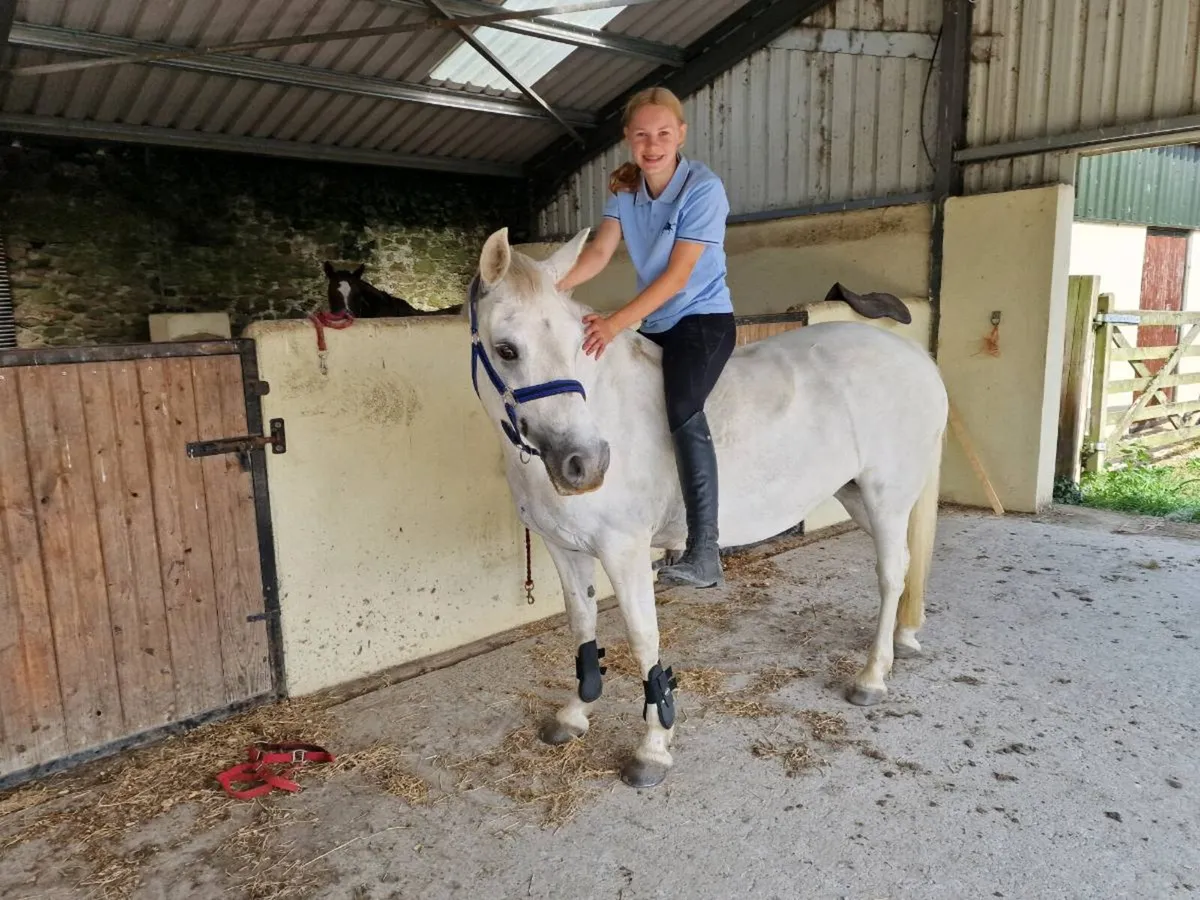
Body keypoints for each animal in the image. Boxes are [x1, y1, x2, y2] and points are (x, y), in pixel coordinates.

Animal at [465, 227, 949, 789]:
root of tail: (915, 358)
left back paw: (872, 676)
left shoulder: (625, 552)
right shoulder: (564, 549)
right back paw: (900, 643)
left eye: (576, 346)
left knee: (892, 574)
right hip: (856, 495)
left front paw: (653, 747)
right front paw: (576, 713)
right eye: (506, 349)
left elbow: (643, 639)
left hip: (886, 496)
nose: (585, 464)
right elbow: (582, 628)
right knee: (905, 568)